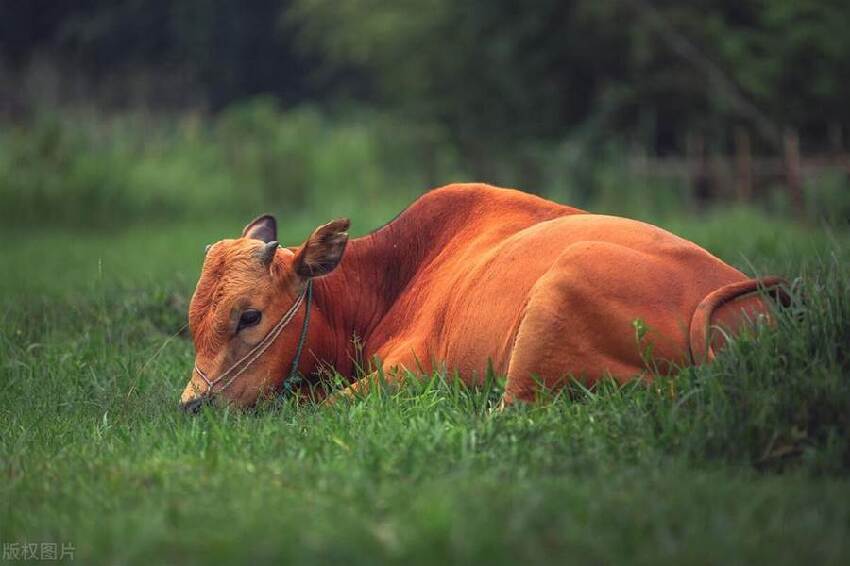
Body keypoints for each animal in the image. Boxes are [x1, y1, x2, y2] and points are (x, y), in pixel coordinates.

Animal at [177, 184, 780, 410]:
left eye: (249, 316)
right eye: (193, 324)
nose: (191, 404)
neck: (395, 275)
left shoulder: (406, 373)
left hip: (556, 298)